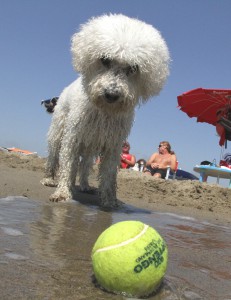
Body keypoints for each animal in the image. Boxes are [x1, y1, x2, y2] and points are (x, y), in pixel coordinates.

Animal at [42, 13, 170, 206]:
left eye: (133, 68)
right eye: (105, 60)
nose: (111, 94)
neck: (104, 111)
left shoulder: (113, 145)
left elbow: (109, 175)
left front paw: (110, 201)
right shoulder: (73, 139)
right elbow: (67, 165)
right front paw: (63, 192)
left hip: (90, 146)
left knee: (85, 166)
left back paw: (85, 185)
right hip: (58, 133)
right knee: (55, 156)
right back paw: (49, 179)